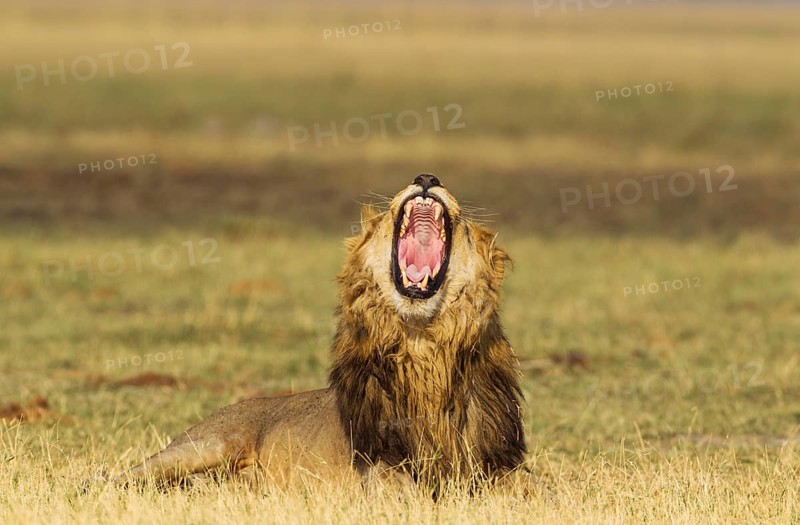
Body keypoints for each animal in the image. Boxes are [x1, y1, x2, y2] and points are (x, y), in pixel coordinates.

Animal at [117, 174, 526, 492]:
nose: (426, 178)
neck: (422, 340)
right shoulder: (379, 465)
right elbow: (406, 490)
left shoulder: (502, 462)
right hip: (204, 445)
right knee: (122, 475)